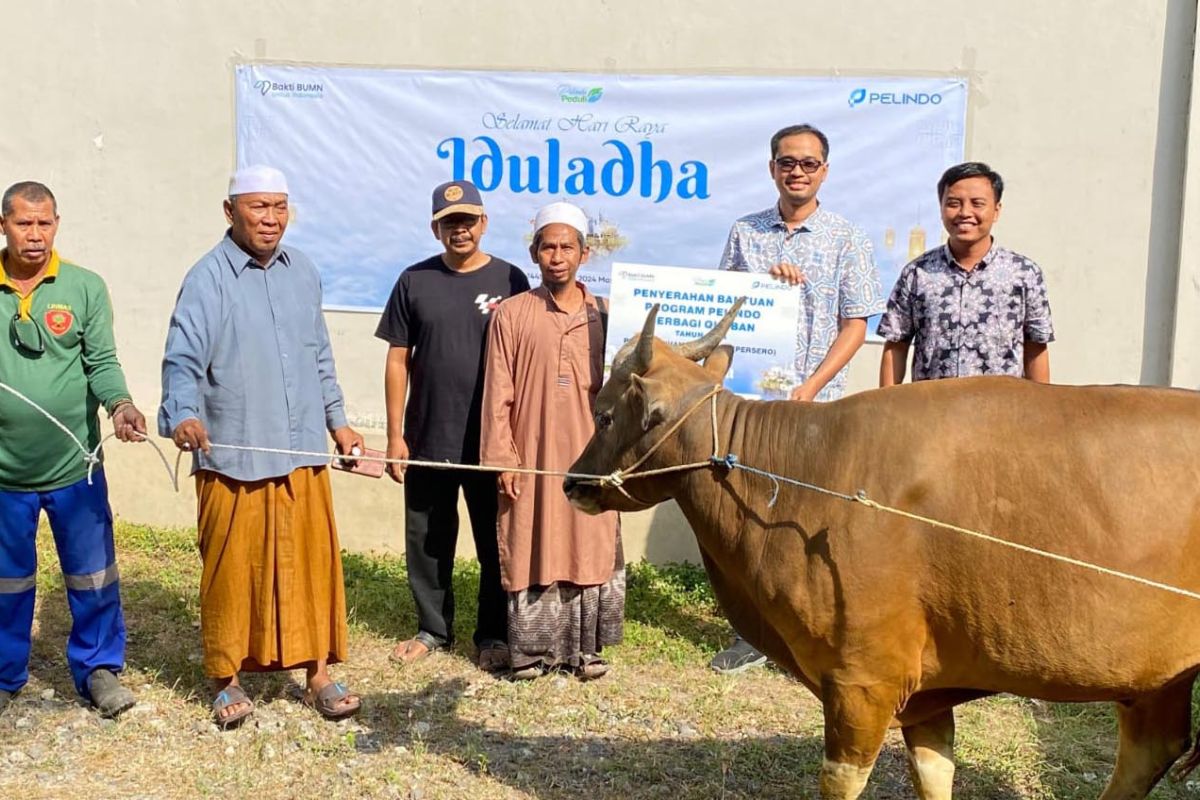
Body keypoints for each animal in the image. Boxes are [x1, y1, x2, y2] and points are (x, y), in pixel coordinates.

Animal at [566, 303, 1200, 796]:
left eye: (604, 413)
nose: (572, 483)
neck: (797, 476)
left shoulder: (861, 682)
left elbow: (842, 780)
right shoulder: (927, 694)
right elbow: (935, 772)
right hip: (1158, 680)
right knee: (1150, 750)